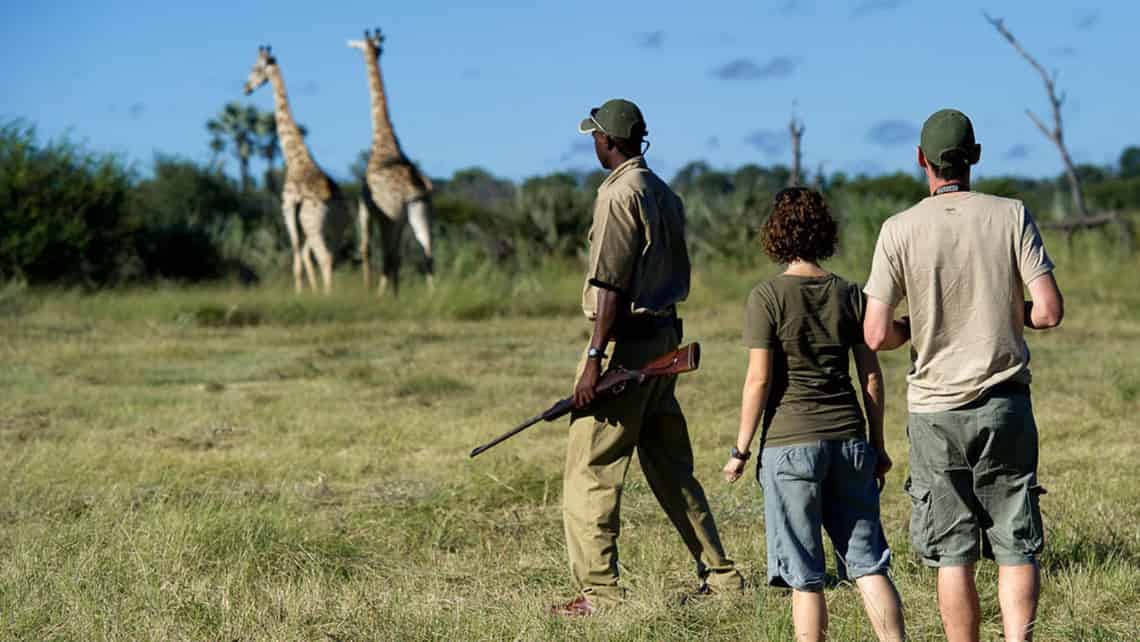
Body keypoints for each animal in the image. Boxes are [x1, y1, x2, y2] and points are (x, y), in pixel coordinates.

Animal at [241, 46, 344, 294]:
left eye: (255, 68)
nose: (246, 88)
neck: (296, 158)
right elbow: (303, 257)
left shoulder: (287, 208)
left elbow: (295, 255)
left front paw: (299, 294)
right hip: (337, 229)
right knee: (328, 256)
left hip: (312, 224)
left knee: (324, 257)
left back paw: (328, 296)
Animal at [344, 27, 433, 294]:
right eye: (379, 48)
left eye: (359, 46)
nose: (376, 52)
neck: (384, 141)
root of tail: (414, 188)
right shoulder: (400, 219)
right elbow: (399, 258)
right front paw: (397, 294)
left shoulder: (365, 205)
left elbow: (364, 247)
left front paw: (369, 290)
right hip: (419, 212)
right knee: (428, 254)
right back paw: (431, 296)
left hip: (390, 217)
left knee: (388, 256)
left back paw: (379, 296)